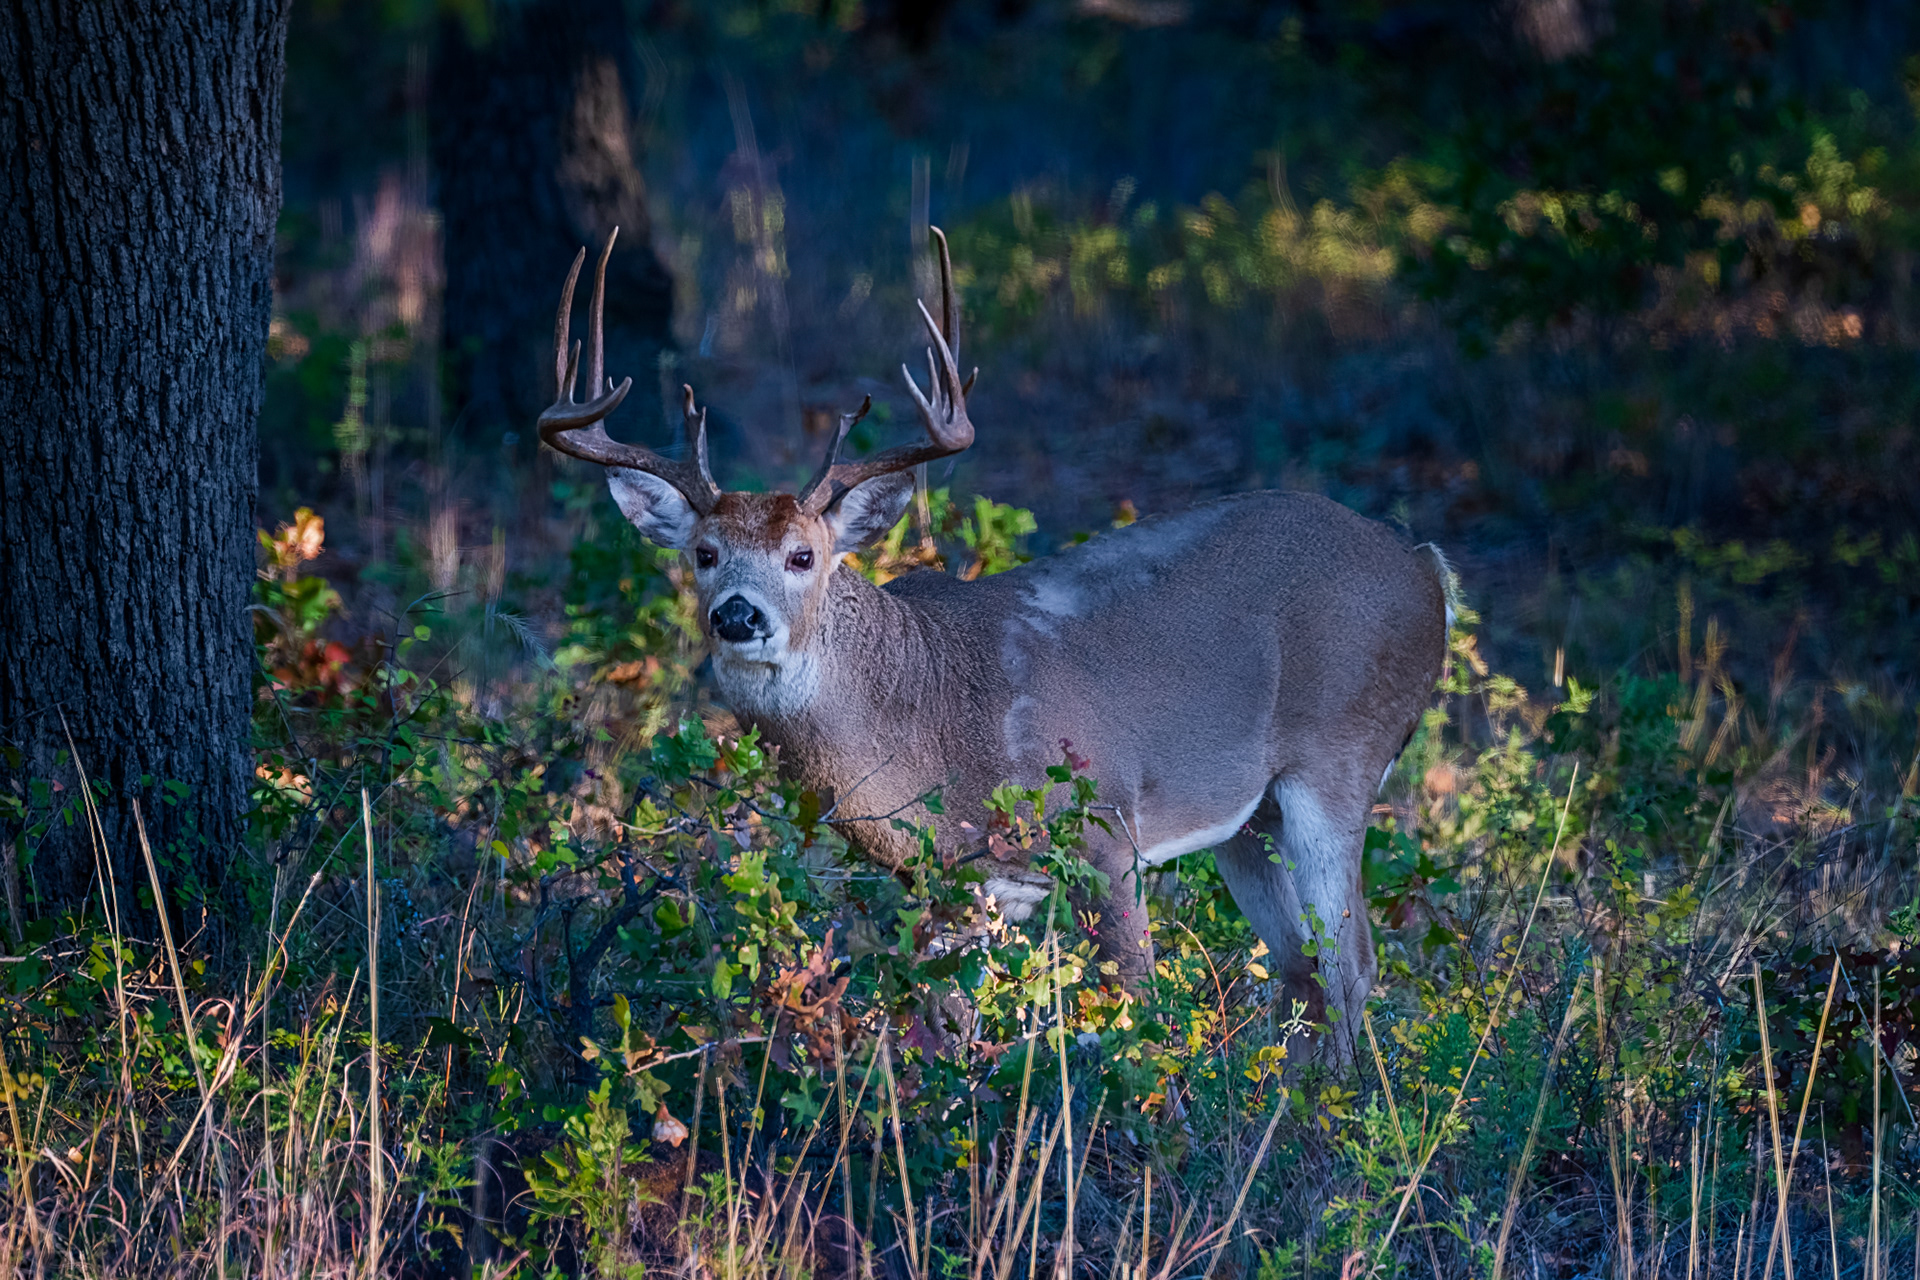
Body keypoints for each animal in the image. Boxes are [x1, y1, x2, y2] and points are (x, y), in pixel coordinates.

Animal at [538, 227, 1453, 1057]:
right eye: (703, 553)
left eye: (804, 556)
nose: (737, 615)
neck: (924, 718)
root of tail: (1424, 564)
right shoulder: (945, 887)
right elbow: (944, 1029)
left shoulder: (1106, 828)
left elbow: (1136, 1010)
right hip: (1250, 818)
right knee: (1303, 969)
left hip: (1339, 753)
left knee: (1351, 965)